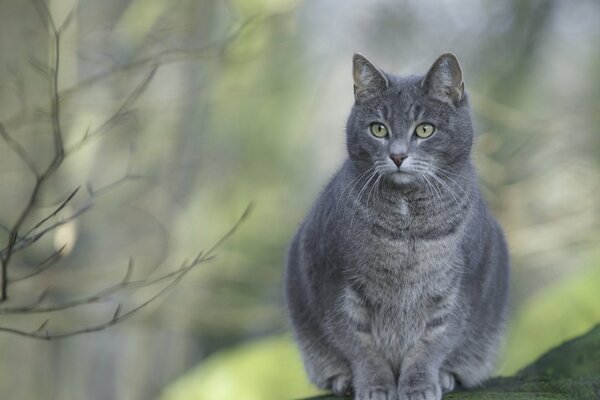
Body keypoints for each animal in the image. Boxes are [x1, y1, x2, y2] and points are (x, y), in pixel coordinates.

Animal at [286, 53, 510, 400]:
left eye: (425, 129)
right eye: (378, 129)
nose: (398, 155)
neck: (407, 225)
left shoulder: (453, 293)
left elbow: (431, 346)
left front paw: (419, 385)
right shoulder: (338, 287)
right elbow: (360, 346)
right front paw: (375, 386)